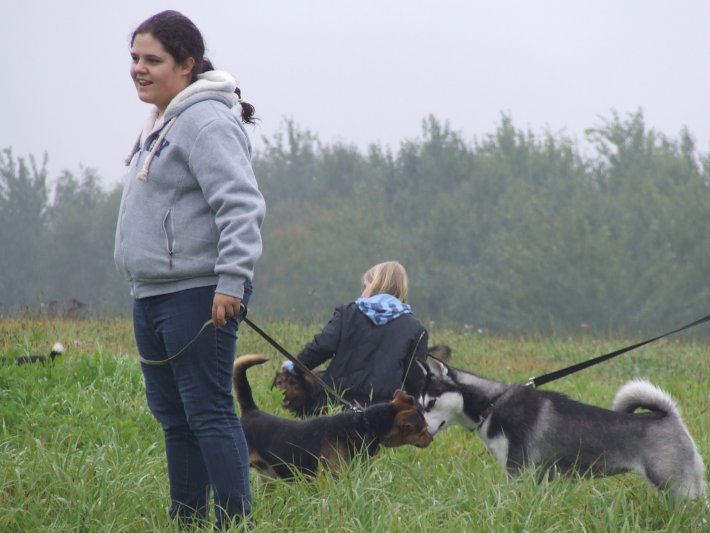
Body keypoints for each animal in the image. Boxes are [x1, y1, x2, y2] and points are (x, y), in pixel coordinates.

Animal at [235, 354, 434, 478]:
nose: (431, 439)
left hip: (268, 477)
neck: (364, 426)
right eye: (422, 430)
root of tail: (251, 411)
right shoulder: (332, 477)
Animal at [420, 358, 704, 498]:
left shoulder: (518, 469)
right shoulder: (538, 475)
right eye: (420, 405)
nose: (420, 433)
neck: (492, 404)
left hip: (675, 485)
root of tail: (668, 415)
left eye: (430, 403)